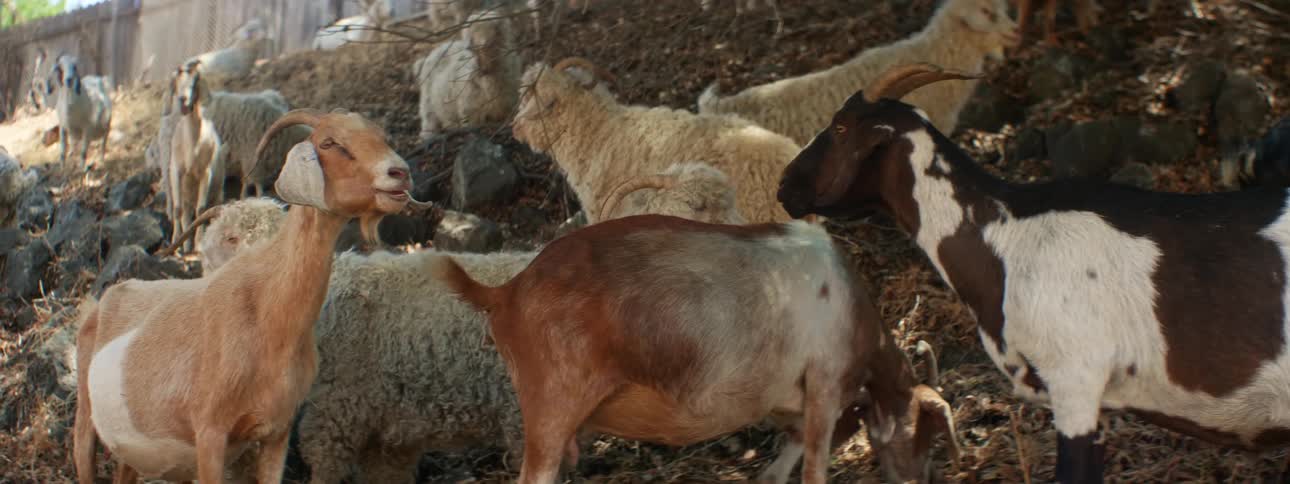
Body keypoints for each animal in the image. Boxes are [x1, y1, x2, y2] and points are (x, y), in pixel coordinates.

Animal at [71, 109, 413, 483]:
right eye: (329, 142)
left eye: (382, 137)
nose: (399, 173)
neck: (268, 312)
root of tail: (103, 301)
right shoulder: (210, 434)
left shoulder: (277, 432)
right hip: (85, 419)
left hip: (130, 447)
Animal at [436, 214, 959, 484]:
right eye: (927, 431)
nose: (922, 480)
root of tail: (507, 292)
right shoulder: (826, 384)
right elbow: (813, 464)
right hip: (551, 407)